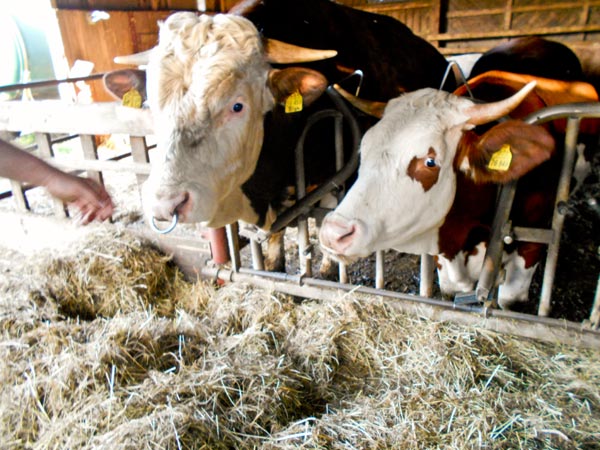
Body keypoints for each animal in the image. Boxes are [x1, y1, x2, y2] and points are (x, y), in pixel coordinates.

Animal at [103, 0, 456, 271]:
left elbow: (328, 228)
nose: (165, 203)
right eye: (151, 104)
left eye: (237, 105)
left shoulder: (336, 176)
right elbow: (275, 246)